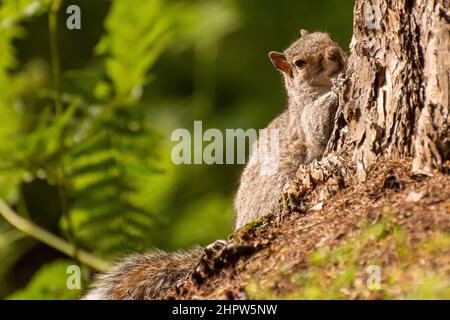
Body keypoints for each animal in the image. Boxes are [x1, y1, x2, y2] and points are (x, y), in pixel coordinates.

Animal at [83, 29, 348, 300]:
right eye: (299, 63)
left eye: (326, 35)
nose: (334, 54)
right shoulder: (306, 123)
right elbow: (318, 130)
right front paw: (336, 90)